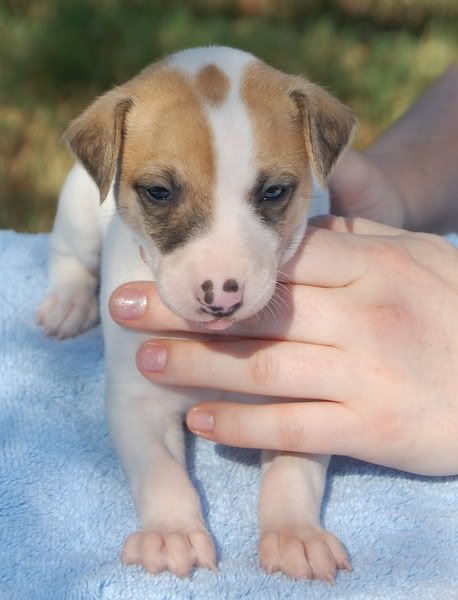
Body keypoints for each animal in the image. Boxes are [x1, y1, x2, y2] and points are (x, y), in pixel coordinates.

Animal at [37, 45, 356, 580]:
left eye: (274, 192)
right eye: (159, 192)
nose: (220, 297)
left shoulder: (301, 401)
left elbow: (294, 470)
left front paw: (296, 534)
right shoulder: (139, 398)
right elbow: (162, 472)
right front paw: (170, 533)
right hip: (77, 210)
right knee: (68, 254)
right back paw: (67, 303)